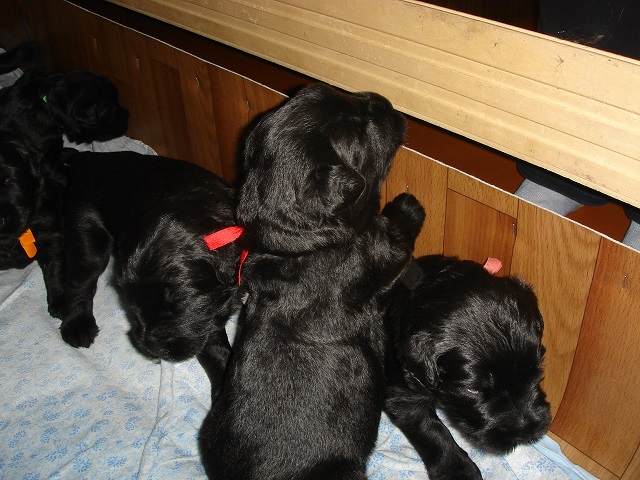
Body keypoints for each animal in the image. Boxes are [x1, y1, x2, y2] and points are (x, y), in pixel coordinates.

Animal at [55, 150, 242, 390]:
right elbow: (214, 347)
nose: (152, 350)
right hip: (84, 228)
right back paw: (77, 326)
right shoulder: (206, 320)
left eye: (177, 306)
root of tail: (88, 158)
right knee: (80, 281)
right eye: (130, 302)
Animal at [198, 84, 426, 480]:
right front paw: (409, 205)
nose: (382, 100)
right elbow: (395, 237)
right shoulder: (375, 254)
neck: (299, 243)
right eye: (361, 126)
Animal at [384, 254, 552, 479]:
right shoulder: (403, 392)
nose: (526, 432)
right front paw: (457, 470)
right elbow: (431, 430)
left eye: (536, 371)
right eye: (473, 390)